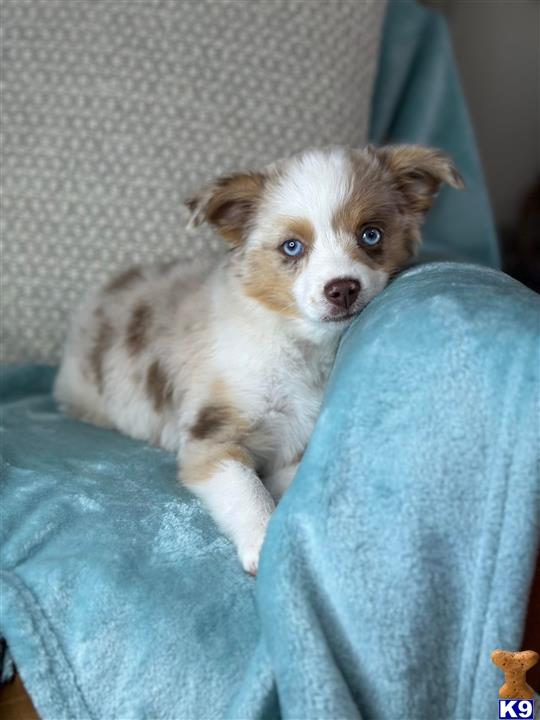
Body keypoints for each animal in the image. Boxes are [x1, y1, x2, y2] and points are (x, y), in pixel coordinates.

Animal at [54, 146, 462, 572]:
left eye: (371, 234)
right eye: (292, 247)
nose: (343, 289)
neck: (297, 344)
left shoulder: (297, 440)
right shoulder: (210, 435)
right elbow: (245, 486)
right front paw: (263, 541)